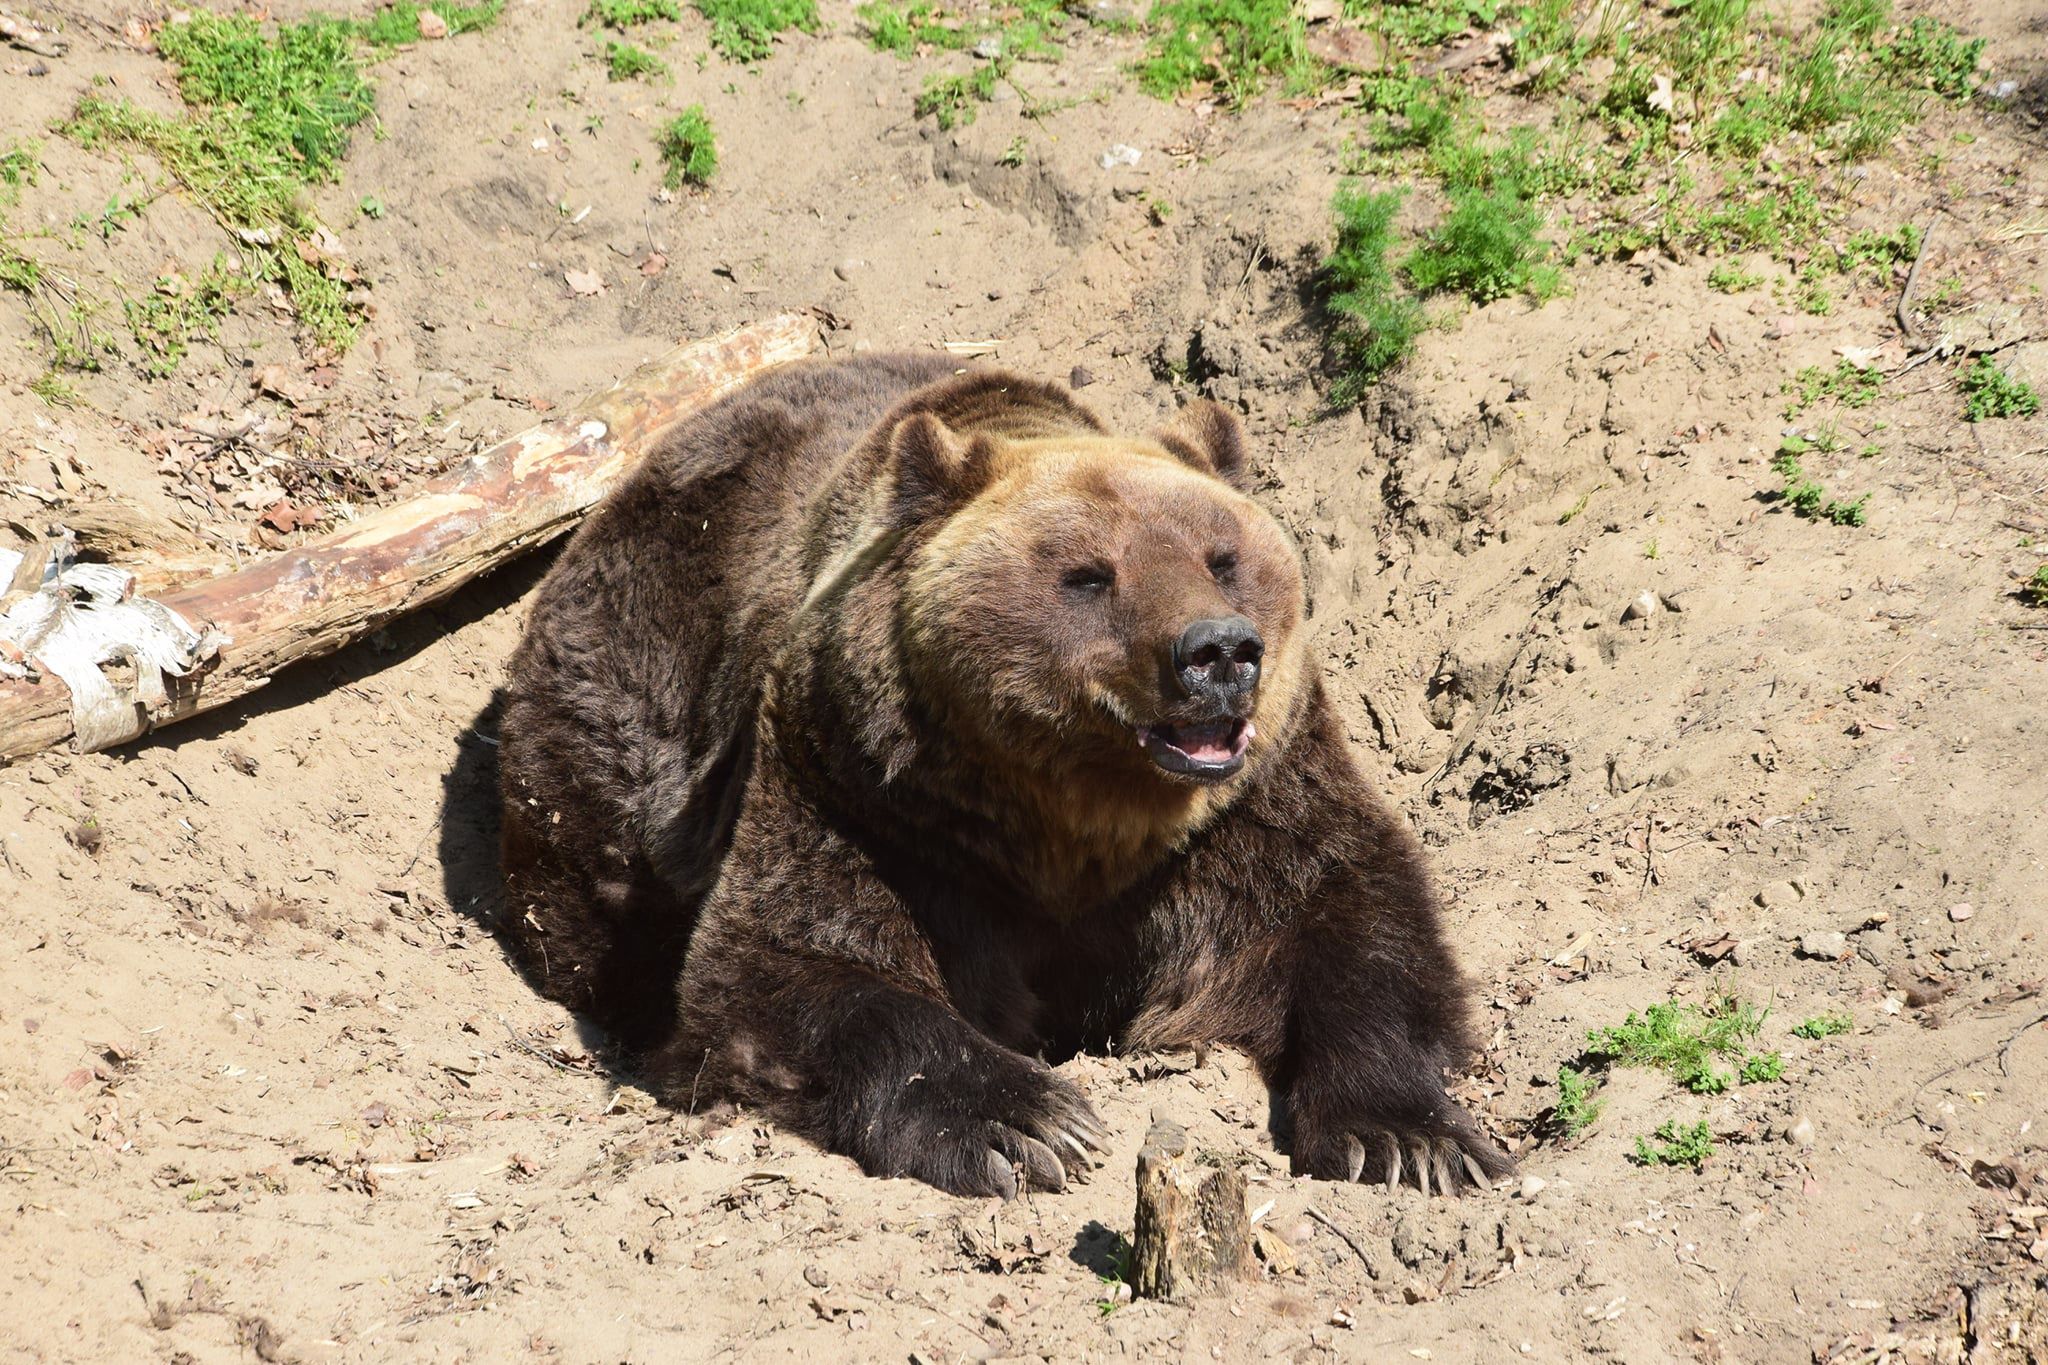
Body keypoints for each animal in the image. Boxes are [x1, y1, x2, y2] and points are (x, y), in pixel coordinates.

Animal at [499, 358, 1507, 1203]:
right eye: (1091, 575)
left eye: (1223, 557)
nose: (1219, 651)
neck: (1075, 819)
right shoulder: (865, 792)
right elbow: (792, 966)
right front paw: (1029, 1121)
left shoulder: (1253, 801)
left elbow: (1348, 917)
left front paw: (1411, 1138)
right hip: (620, 717)